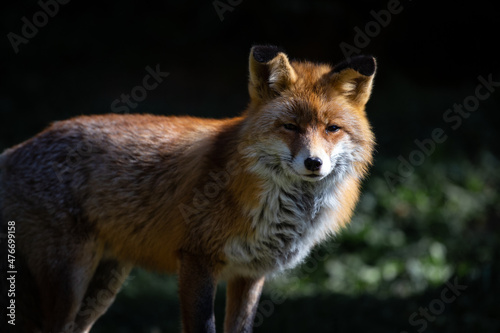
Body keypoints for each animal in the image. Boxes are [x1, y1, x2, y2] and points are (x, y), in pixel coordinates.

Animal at [0, 44, 376, 332]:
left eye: (332, 128)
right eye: (290, 127)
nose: (314, 163)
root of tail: (17, 148)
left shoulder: (250, 273)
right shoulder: (197, 259)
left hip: (103, 285)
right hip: (70, 281)